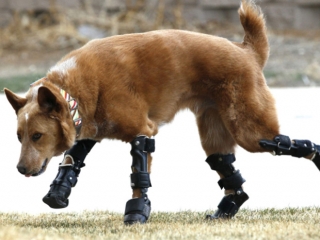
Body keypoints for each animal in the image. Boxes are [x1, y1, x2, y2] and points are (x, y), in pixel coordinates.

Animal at [4, 0, 320, 224]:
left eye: (37, 136)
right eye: (19, 137)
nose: (19, 170)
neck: (77, 90)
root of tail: (247, 50)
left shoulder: (142, 131)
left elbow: (138, 175)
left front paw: (136, 213)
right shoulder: (89, 131)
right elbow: (72, 160)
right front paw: (58, 192)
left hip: (249, 131)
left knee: (286, 143)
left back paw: (315, 157)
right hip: (215, 134)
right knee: (229, 173)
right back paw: (224, 212)